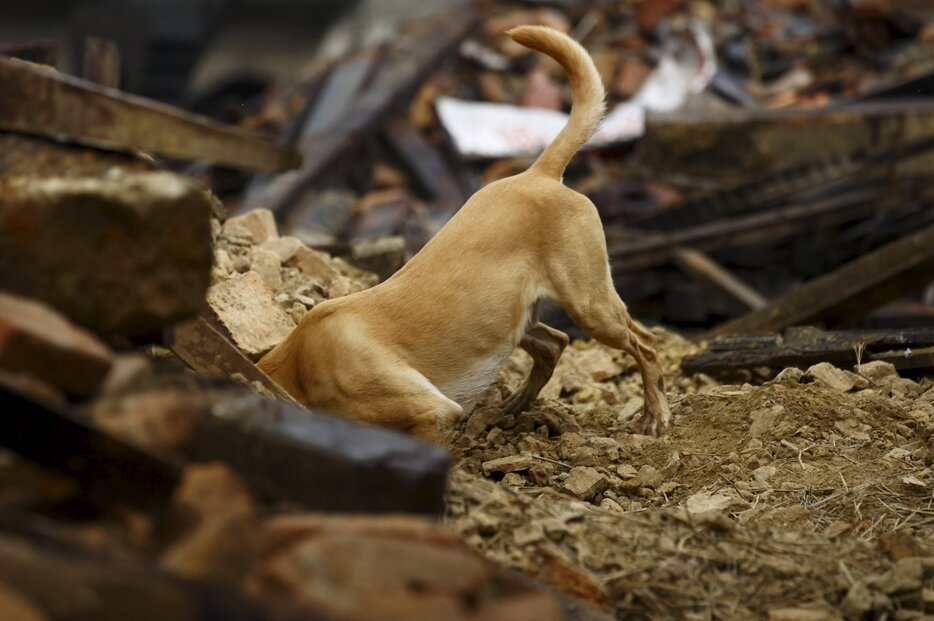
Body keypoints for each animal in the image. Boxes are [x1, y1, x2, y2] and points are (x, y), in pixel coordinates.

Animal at [262, 25, 672, 440]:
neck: (298, 367)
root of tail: (537, 173)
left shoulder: (434, 414)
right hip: (511, 319)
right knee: (555, 343)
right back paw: (515, 407)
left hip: (589, 305)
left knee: (646, 343)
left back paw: (654, 415)